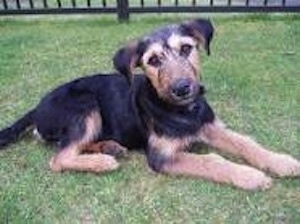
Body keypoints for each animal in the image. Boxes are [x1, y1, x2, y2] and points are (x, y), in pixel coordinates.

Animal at [0, 19, 300, 190]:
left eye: (186, 49)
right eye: (153, 61)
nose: (183, 88)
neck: (183, 111)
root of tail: (37, 107)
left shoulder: (210, 125)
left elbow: (245, 143)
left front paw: (281, 162)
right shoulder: (161, 155)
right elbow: (211, 161)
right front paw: (250, 177)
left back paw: (109, 148)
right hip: (85, 106)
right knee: (59, 157)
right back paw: (102, 161)